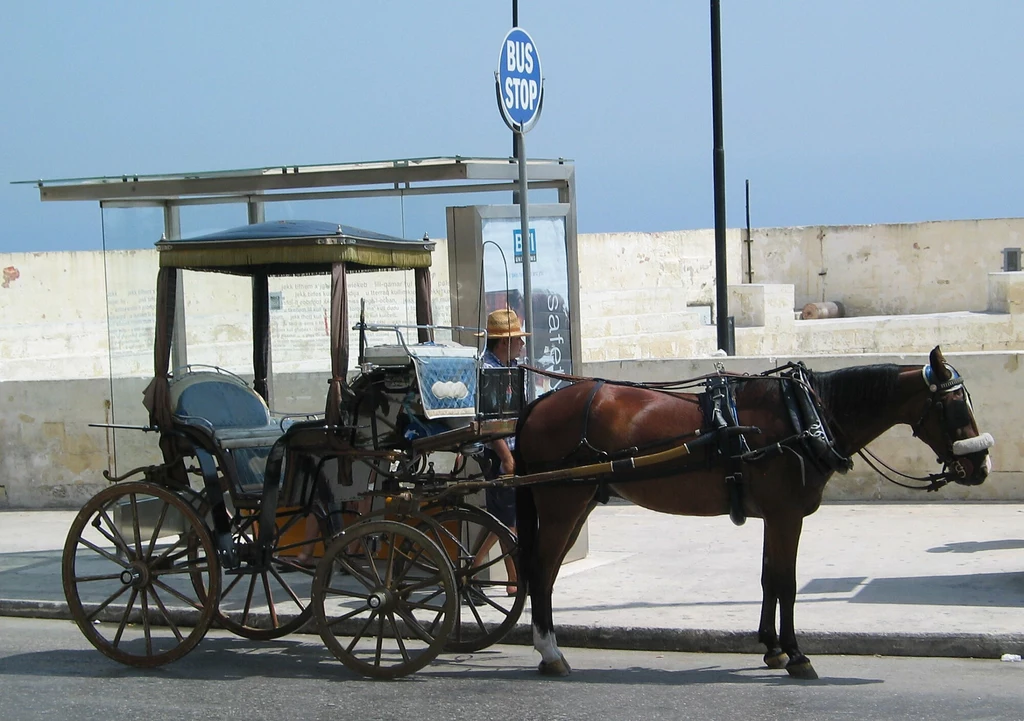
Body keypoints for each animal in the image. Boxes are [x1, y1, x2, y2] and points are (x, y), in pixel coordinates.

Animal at [512, 346, 991, 680]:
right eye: (954, 406)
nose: (980, 465)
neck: (803, 414)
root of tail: (539, 403)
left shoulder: (774, 517)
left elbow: (768, 579)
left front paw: (772, 648)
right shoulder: (786, 516)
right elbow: (787, 583)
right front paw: (796, 655)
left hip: (578, 504)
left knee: (546, 573)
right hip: (561, 506)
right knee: (541, 569)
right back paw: (550, 651)